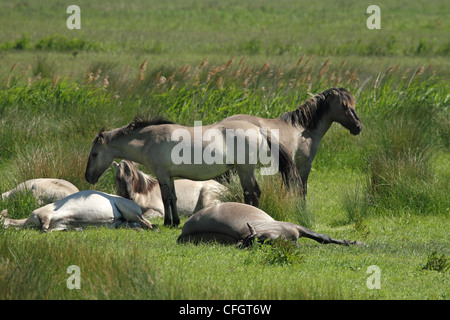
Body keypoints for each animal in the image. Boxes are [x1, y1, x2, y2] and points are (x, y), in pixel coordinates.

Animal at [0, 190, 153, 232]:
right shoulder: (59, 225)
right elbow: (53, 230)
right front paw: (77, 229)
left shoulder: (47, 215)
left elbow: (45, 227)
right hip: (123, 222)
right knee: (135, 224)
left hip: (130, 211)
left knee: (146, 223)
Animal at [86, 118, 300, 228]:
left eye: (94, 154)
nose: (88, 177)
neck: (148, 140)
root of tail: (258, 129)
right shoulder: (169, 176)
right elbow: (173, 198)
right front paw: (175, 221)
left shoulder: (162, 174)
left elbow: (166, 198)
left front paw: (168, 222)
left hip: (245, 170)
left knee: (252, 193)